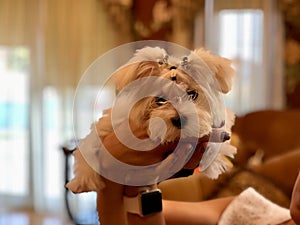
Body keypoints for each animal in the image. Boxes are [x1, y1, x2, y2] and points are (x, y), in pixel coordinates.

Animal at [66, 46, 237, 193]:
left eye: (192, 94)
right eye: (160, 100)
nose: (180, 119)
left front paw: (213, 161)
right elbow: (90, 145)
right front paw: (81, 181)